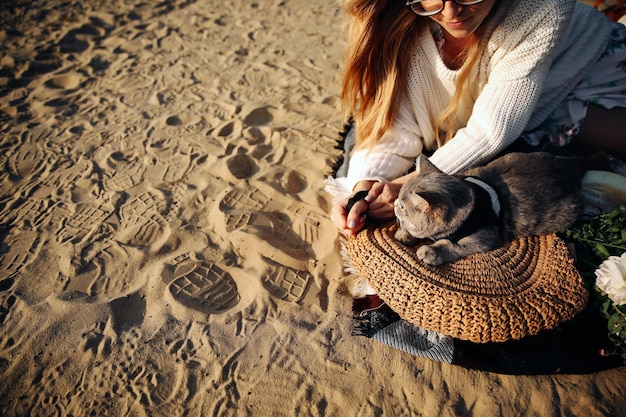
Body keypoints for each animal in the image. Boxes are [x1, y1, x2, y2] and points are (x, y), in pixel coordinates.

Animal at [394, 151, 584, 264]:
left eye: (402, 206)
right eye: (398, 195)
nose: (395, 203)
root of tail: (567, 168)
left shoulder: (486, 236)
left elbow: (453, 246)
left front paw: (433, 251)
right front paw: (404, 234)